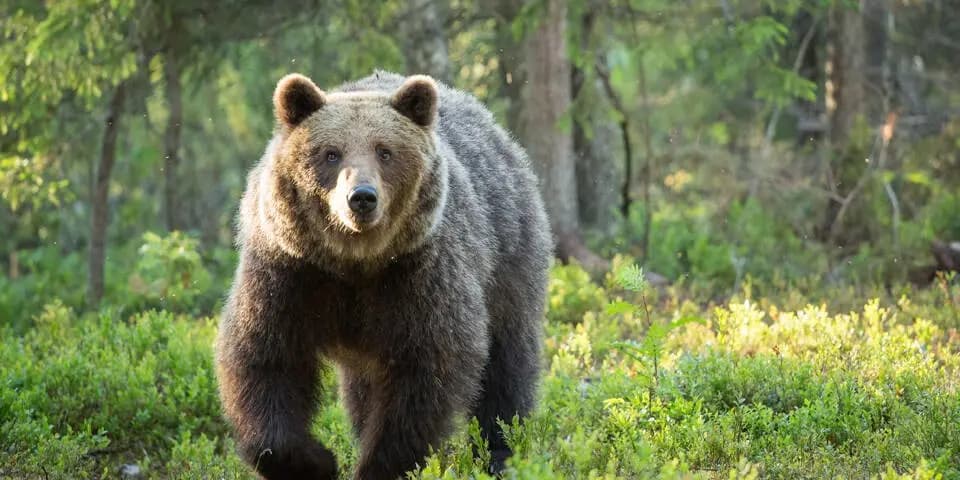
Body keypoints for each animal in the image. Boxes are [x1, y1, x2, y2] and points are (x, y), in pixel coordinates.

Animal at [215, 71, 552, 480]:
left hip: (508, 255)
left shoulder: (418, 275)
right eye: (331, 152)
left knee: (507, 360)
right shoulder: (289, 272)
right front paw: (315, 461)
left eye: (385, 151)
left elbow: (426, 371)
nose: (361, 197)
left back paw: (502, 450)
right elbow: (265, 357)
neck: (354, 262)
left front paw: (379, 465)